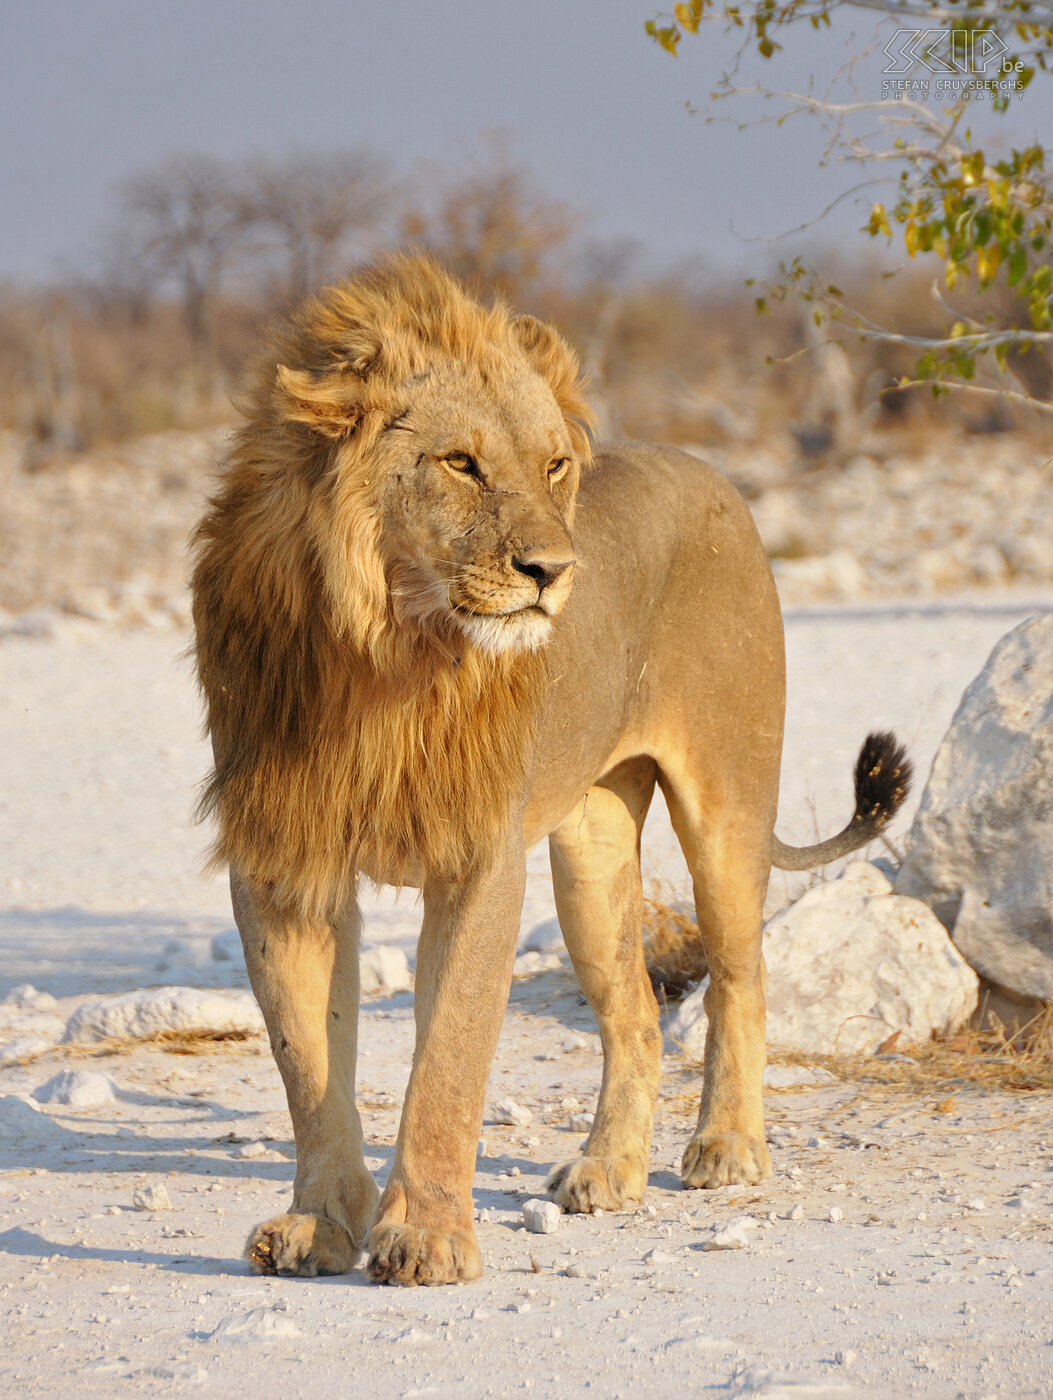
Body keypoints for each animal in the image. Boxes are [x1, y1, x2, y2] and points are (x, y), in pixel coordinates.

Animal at [191, 254, 912, 1288]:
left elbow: (448, 1057)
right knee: (637, 1015)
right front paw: (319, 1225)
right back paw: (608, 1170)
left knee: (740, 974)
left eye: (554, 466)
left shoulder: (477, 858)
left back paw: (727, 1147)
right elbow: (307, 1062)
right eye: (461, 463)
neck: (385, 654)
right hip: (589, 853)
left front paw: (428, 1237)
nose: (553, 572)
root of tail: (718, 477)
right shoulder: (284, 861)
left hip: (726, 806)